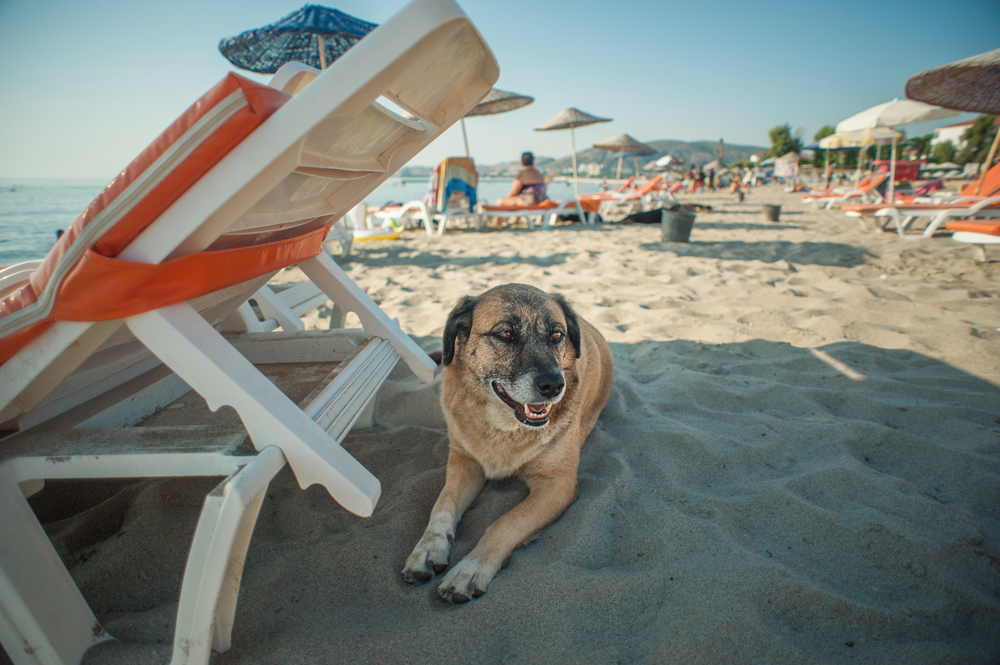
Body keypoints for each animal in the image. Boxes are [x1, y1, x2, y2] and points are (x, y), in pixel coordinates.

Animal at [402, 280, 612, 600]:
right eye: (505, 335)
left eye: (556, 335)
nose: (554, 385)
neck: (504, 427)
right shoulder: (465, 463)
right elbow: (442, 505)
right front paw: (428, 548)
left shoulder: (558, 485)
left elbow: (505, 522)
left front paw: (471, 568)